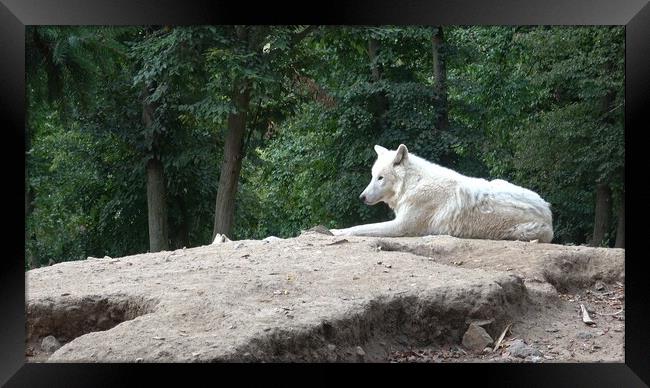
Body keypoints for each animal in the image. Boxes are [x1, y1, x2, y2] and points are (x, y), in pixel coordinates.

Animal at [330, 144, 552, 242]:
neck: (412, 184)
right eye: (372, 176)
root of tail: (548, 211)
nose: (362, 197)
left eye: (380, 178)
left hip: (521, 232)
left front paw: (335, 231)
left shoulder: (401, 226)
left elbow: (360, 227)